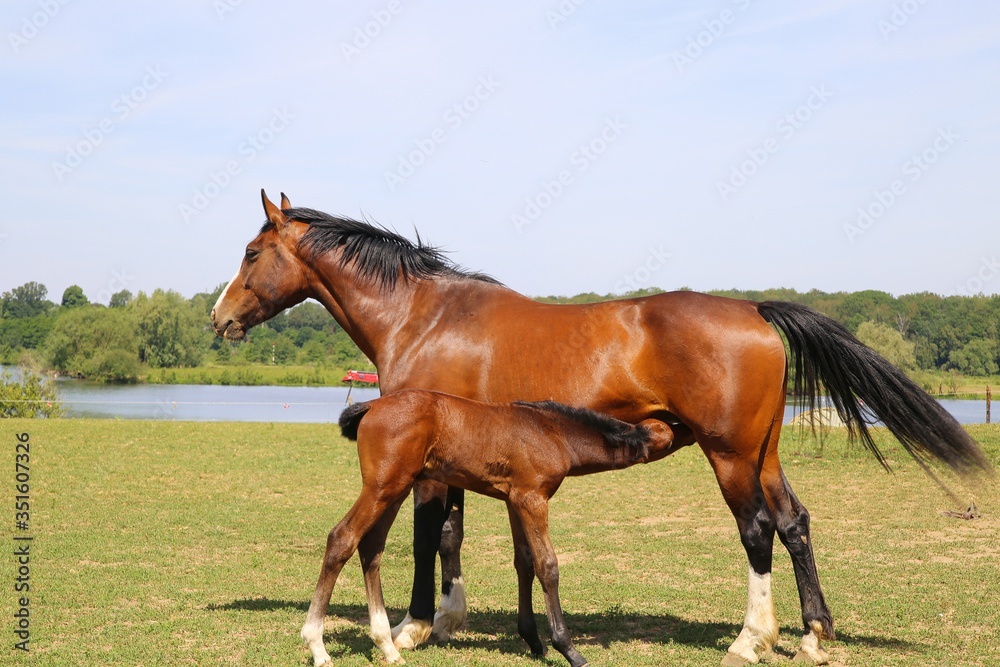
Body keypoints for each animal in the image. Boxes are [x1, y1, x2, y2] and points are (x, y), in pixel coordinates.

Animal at [301, 389, 677, 667]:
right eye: (668, 430)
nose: (682, 425)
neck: (553, 431)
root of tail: (371, 405)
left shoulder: (515, 499)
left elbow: (524, 562)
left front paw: (533, 640)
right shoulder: (533, 498)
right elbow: (548, 566)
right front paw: (568, 648)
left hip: (394, 488)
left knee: (371, 547)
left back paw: (387, 647)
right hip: (382, 487)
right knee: (342, 538)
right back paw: (318, 646)